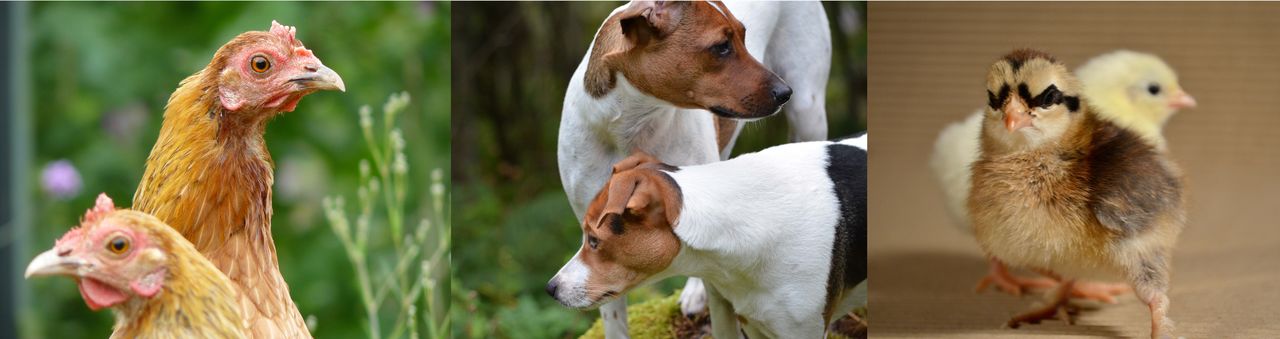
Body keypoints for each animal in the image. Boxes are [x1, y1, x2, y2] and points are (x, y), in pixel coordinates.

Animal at [558, 1, 829, 335]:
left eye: (744, 36)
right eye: (722, 46)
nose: (784, 92)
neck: (633, 126)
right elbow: (613, 314)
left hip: (808, 112)